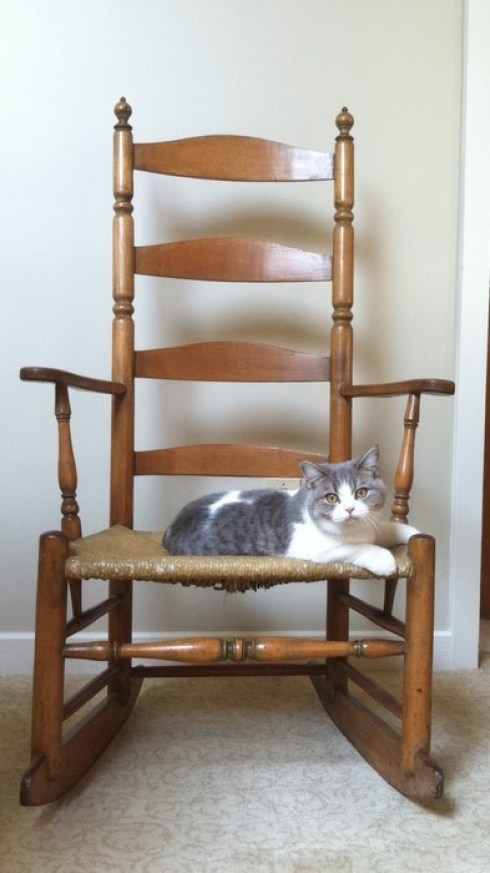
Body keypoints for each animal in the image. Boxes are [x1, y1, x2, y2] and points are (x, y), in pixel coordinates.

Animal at [164, 446, 418, 576]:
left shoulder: (369, 524)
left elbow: (386, 528)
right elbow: (355, 547)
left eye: (361, 493)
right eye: (332, 497)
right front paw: (384, 559)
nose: (349, 509)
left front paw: (413, 533)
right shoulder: (314, 549)